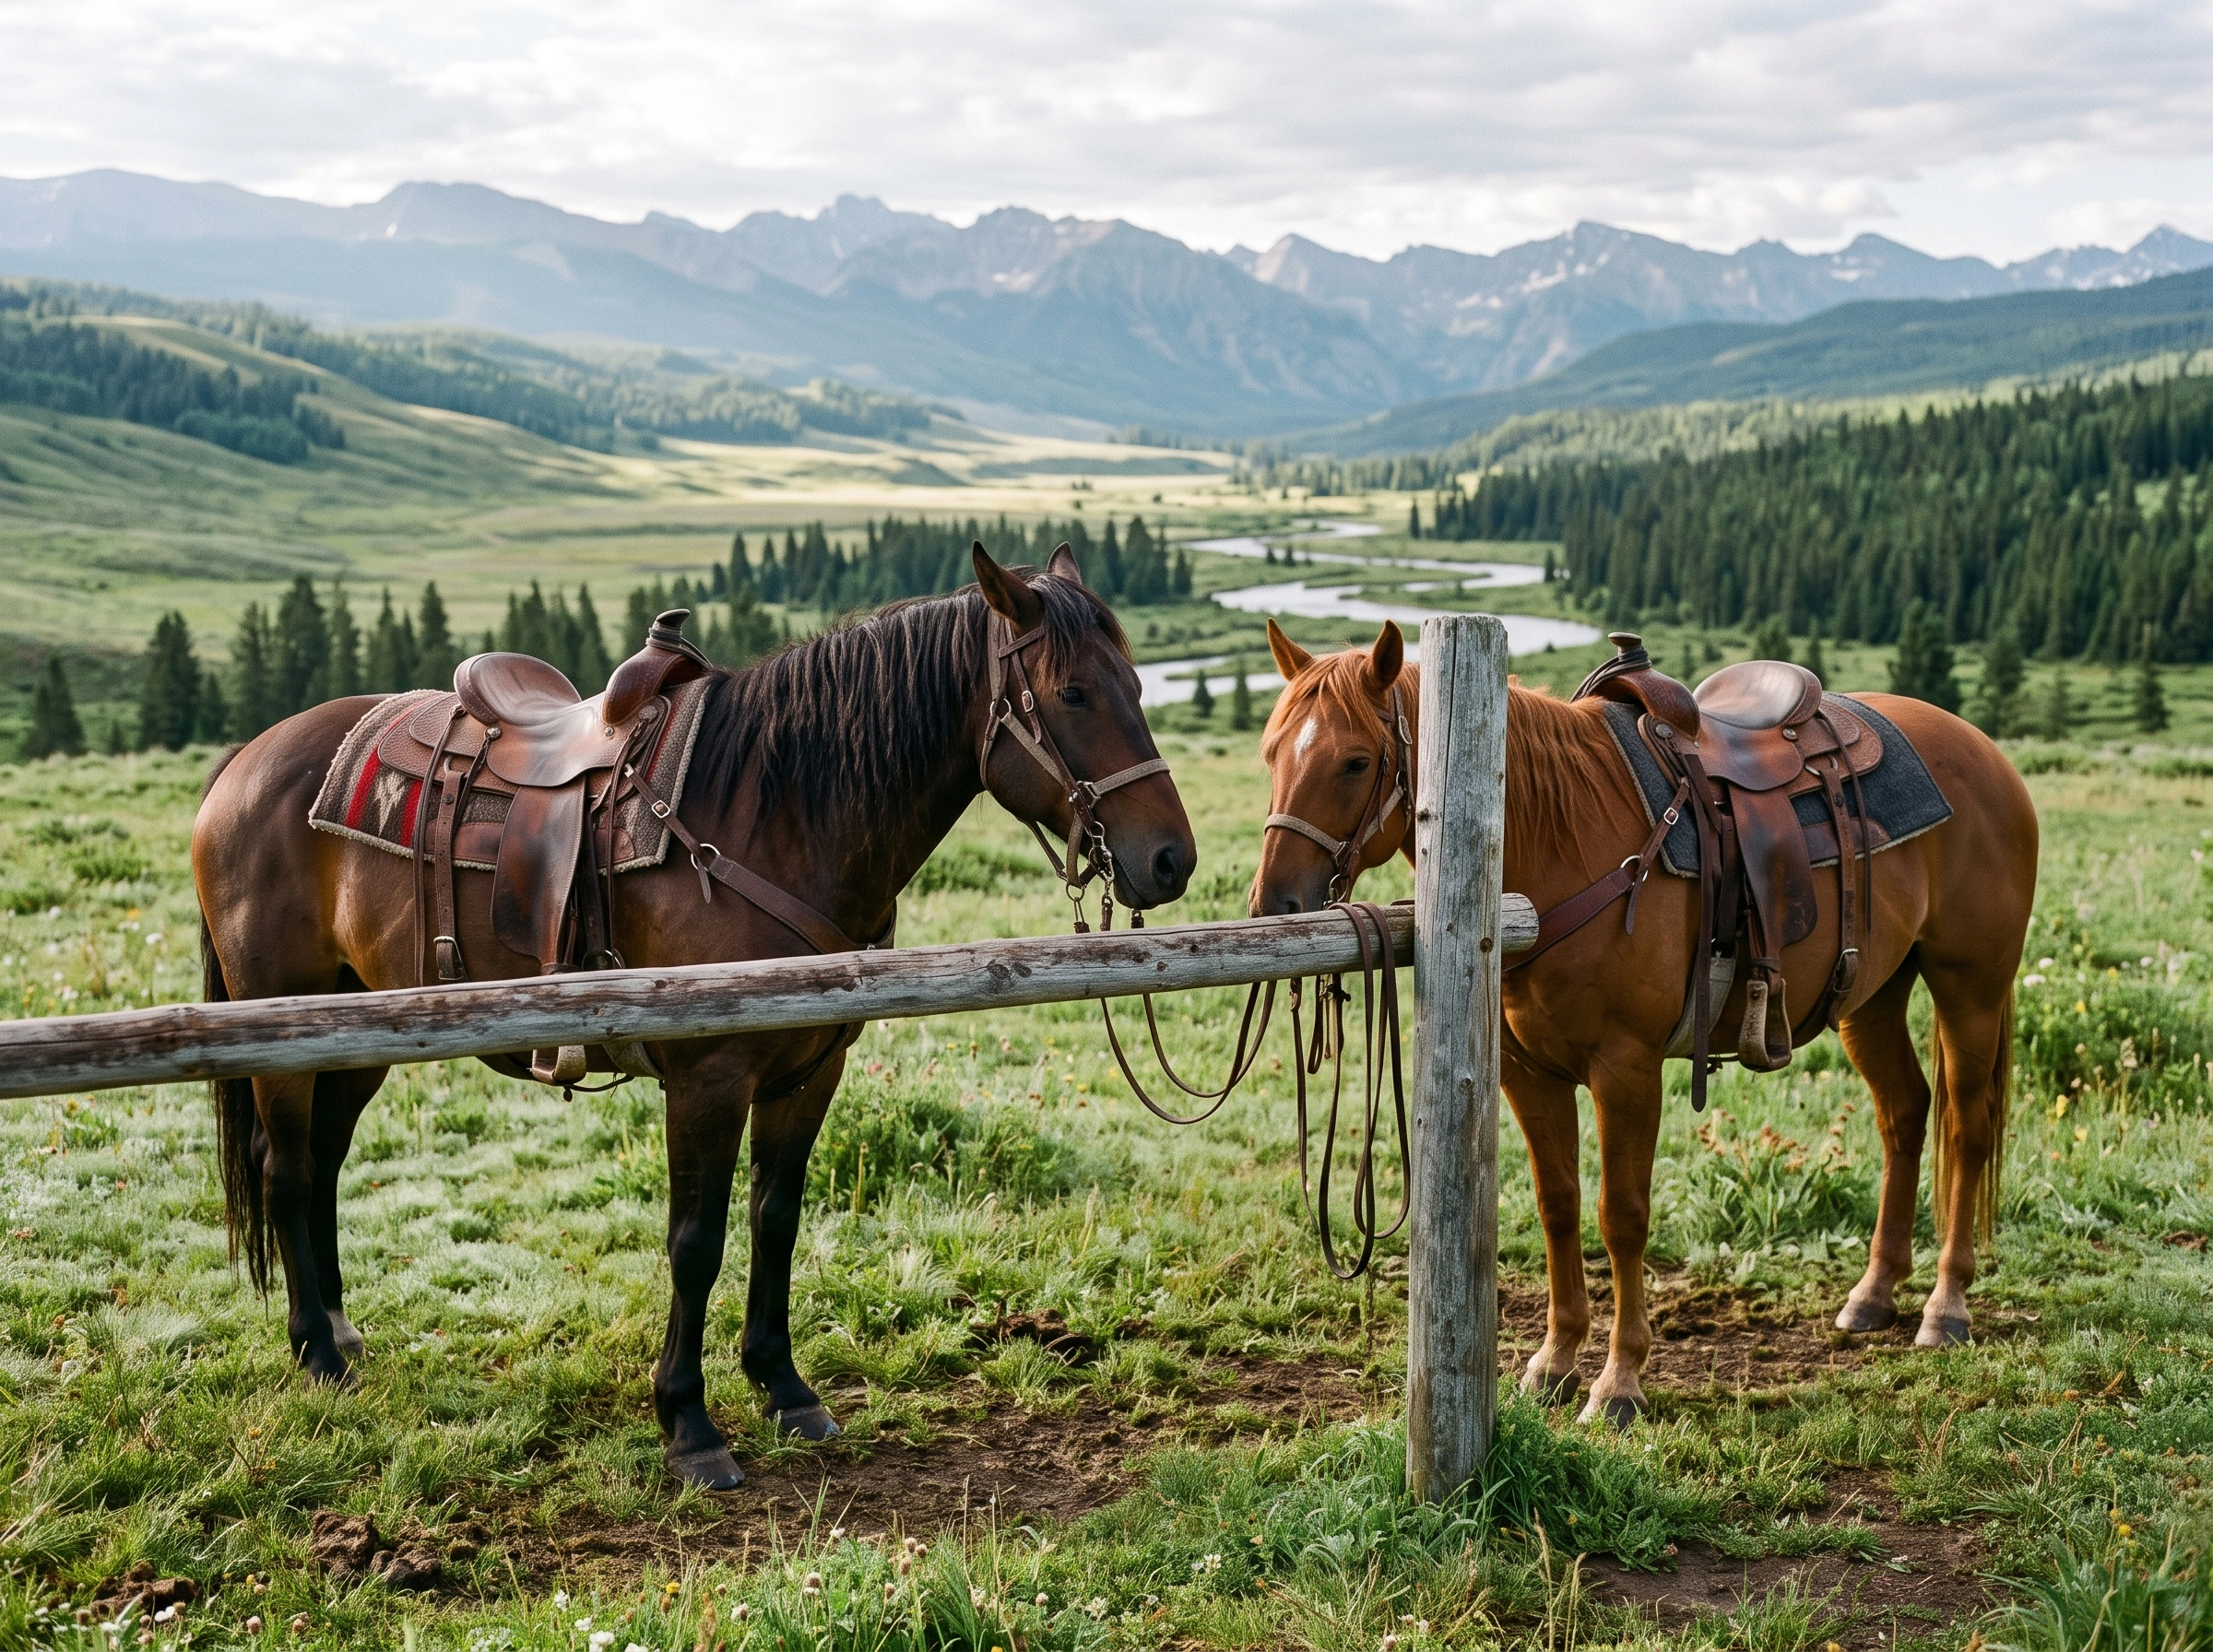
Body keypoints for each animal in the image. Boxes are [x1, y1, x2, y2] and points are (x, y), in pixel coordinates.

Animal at [193, 545, 1194, 1487]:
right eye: (1073, 692)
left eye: (1139, 684)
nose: (1170, 859)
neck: (779, 815)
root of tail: (245, 759)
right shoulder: (707, 1078)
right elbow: (695, 1242)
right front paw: (689, 1424)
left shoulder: (809, 1072)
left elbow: (775, 1218)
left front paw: (784, 1388)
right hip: (285, 1020)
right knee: (287, 1168)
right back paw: (316, 1352)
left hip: (356, 1029)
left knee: (322, 1163)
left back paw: (338, 1331)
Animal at [1250, 617, 2037, 1425]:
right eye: (1272, 752)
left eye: (1355, 762)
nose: (1276, 904)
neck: (1555, 844)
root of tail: (1983, 752)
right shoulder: (1528, 1073)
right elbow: (1559, 1203)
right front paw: (1555, 1360)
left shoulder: (1626, 1070)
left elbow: (1621, 1215)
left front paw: (1619, 1380)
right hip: (1871, 998)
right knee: (1904, 1113)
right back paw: (1875, 1294)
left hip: (1970, 988)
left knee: (1967, 1128)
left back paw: (1946, 1306)